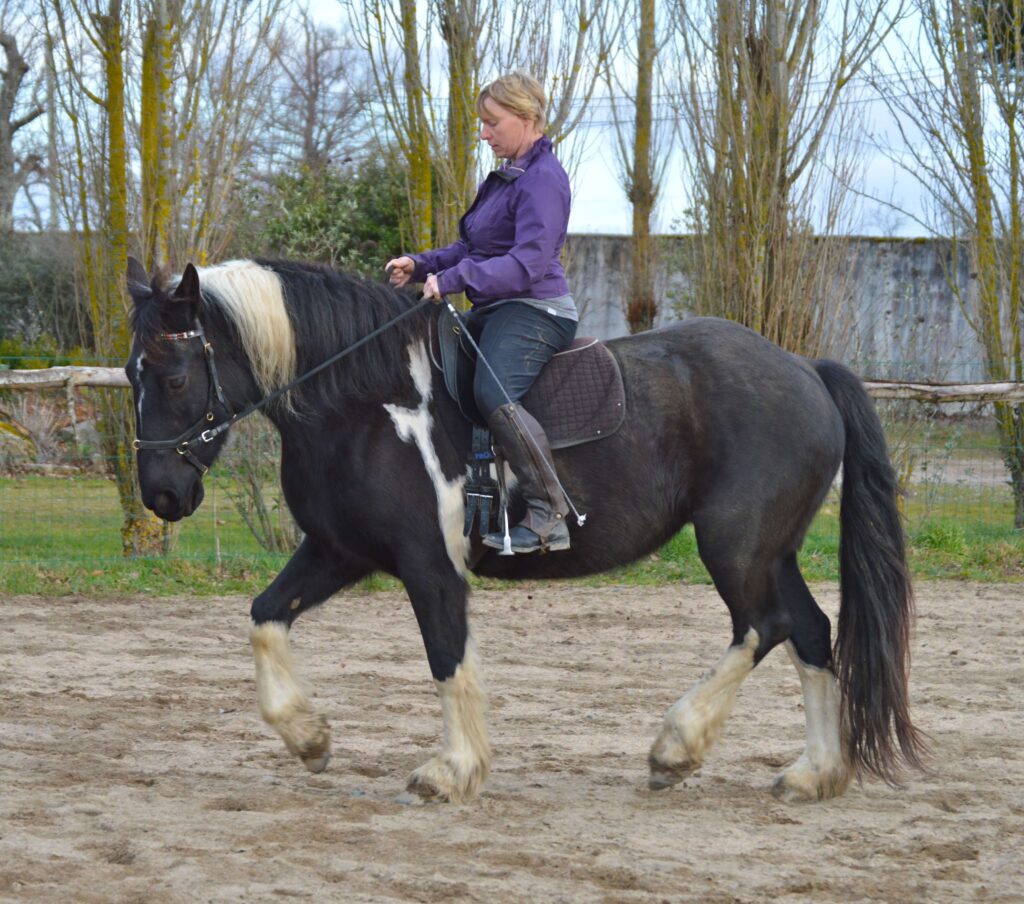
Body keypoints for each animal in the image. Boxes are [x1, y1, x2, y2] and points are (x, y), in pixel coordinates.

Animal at [123, 257, 925, 802]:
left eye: (172, 376)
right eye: (130, 374)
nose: (161, 493)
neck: (369, 402)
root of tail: (806, 370)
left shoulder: (429, 564)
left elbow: (447, 658)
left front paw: (451, 771)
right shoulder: (339, 551)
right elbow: (265, 617)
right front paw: (309, 737)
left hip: (734, 544)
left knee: (764, 625)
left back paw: (675, 749)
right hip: (770, 548)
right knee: (811, 632)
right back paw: (813, 773)